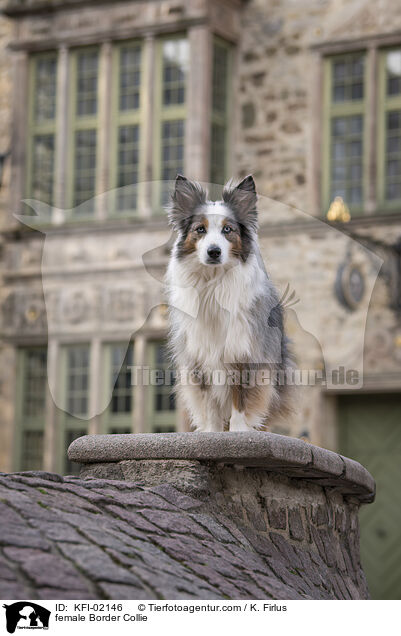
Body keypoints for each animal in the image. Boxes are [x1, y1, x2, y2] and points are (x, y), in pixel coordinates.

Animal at [164, 174, 292, 432]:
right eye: (200, 229)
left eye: (227, 230)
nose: (214, 252)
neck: (214, 282)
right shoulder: (200, 357)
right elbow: (210, 403)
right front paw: (213, 432)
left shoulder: (243, 352)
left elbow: (239, 397)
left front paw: (239, 430)